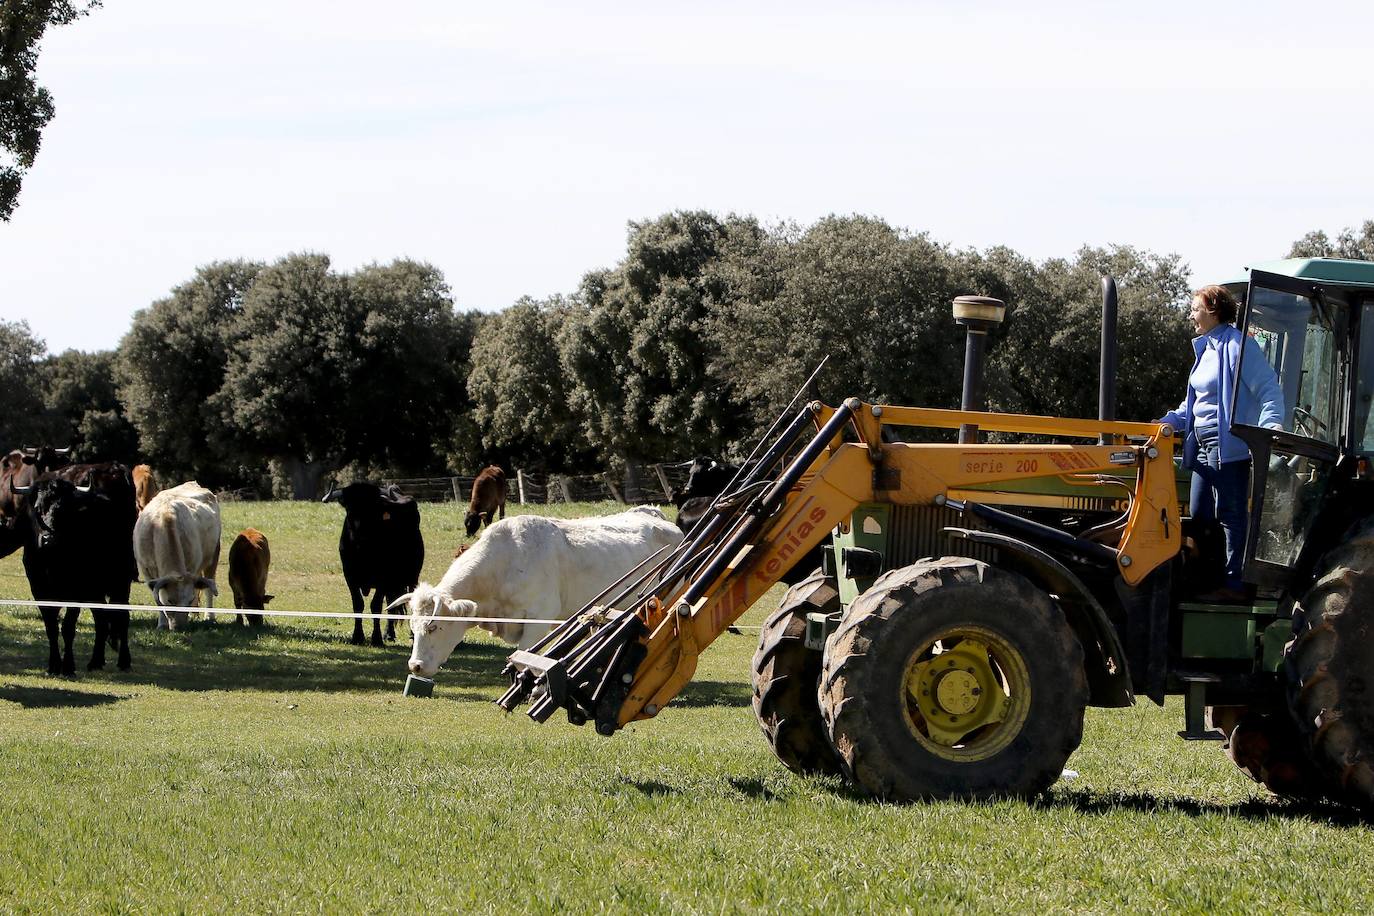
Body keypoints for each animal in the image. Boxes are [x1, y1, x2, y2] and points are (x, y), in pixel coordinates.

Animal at [15, 469, 138, 678]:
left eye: (63, 510)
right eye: (38, 508)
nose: (48, 539)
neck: (52, 561)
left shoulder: (76, 592)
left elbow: (68, 627)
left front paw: (68, 667)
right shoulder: (39, 590)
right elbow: (51, 627)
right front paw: (53, 665)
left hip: (121, 582)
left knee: (122, 617)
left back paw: (124, 661)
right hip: (95, 591)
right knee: (101, 620)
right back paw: (96, 661)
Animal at [133, 480, 222, 631]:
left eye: (189, 600)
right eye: (169, 600)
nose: (179, 627)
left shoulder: (191, 567)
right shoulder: (146, 571)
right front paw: (161, 624)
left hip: (213, 555)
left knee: (208, 587)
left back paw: (209, 617)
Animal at [322, 483, 423, 648]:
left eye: (372, 510)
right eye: (350, 509)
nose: (360, 533)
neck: (363, 550)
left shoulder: (383, 578)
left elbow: (376, 605)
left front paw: (376, 639)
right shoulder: (350, 576)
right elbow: (358, 604)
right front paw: (357, 637)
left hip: (412, 576)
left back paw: (413, 636)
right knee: (392, 604)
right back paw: (389, 634)